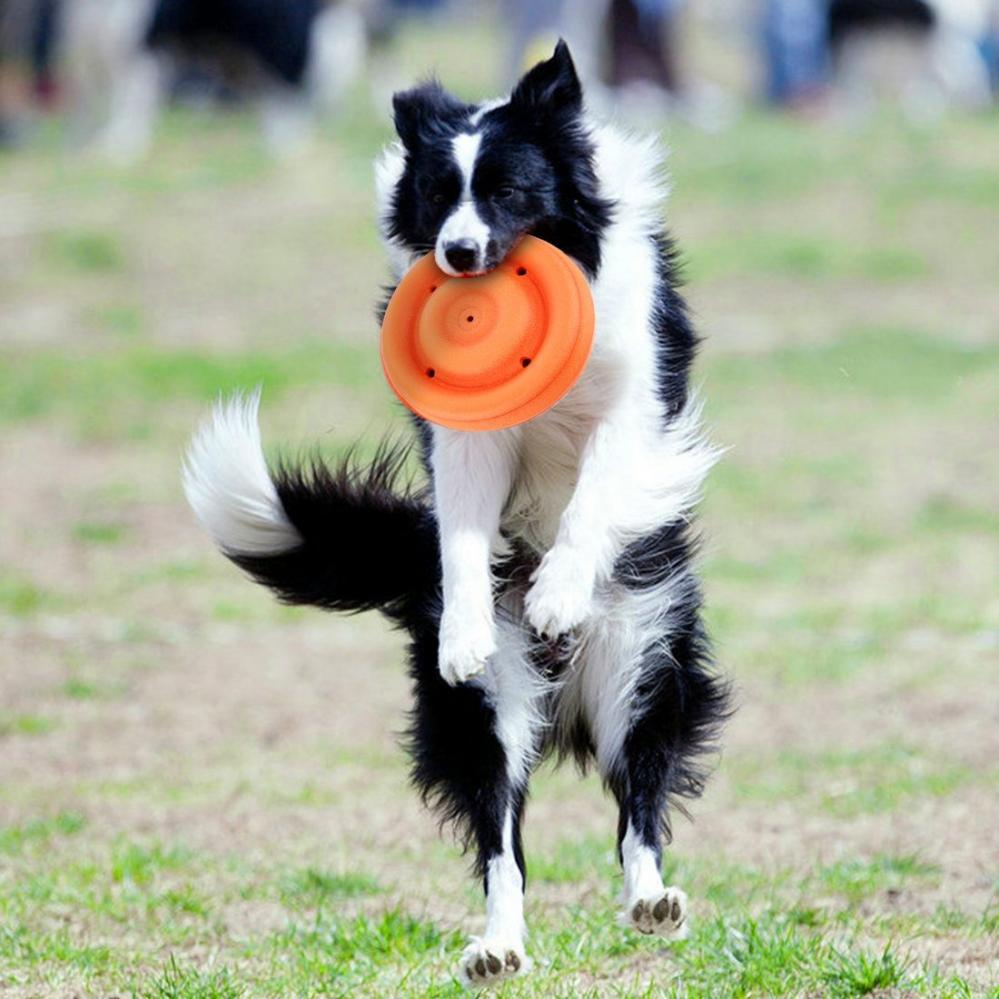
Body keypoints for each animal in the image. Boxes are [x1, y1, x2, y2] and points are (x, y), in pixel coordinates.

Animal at [59, 0, 364, 159]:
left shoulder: (142, 50)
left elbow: (129, 104)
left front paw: (120, 152)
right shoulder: (90, 52)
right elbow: (89, 105)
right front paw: (80, 148)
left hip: (270, 41)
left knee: (289, 96)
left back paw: (285, 152)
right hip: (240, 59)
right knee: (274, 97)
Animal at [184, 43, 732, 988]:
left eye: (509, 190)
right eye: (440, 195)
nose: (460, 251)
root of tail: (564, 691)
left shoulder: (630, 399)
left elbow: (593, 493)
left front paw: (556, 589)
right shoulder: (466, 442)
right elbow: (468, 534)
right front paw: (467, 628)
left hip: (643, 661)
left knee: (639, 797)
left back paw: (649, 899)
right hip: (486, 715)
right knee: (501, 841)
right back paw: (498, 948)